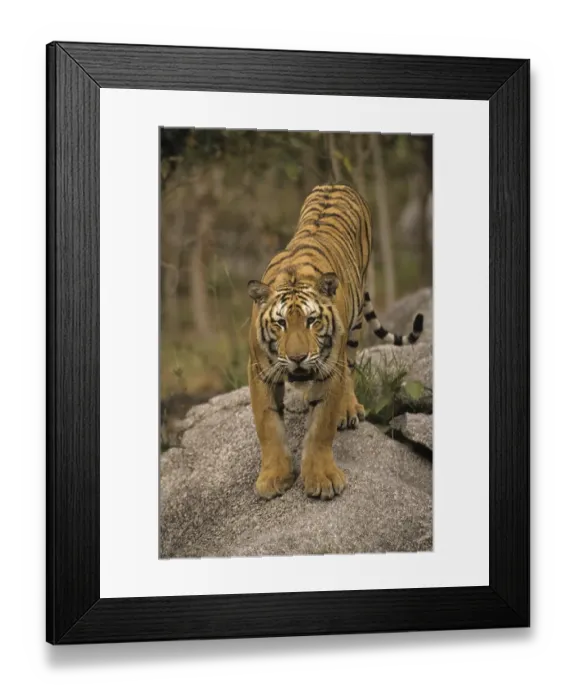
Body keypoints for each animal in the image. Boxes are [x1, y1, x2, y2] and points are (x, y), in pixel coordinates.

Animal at [247, 183, 424, 501]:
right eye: (280, 324)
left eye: (312, 321)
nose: (297, 358)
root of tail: (336, 184)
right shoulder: (260, 371)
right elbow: (268, 425)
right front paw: (274, 478)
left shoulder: (330, 368)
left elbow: (321, 427)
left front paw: (322, 480)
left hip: (353, 329)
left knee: (351, 369)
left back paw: (349, 408)